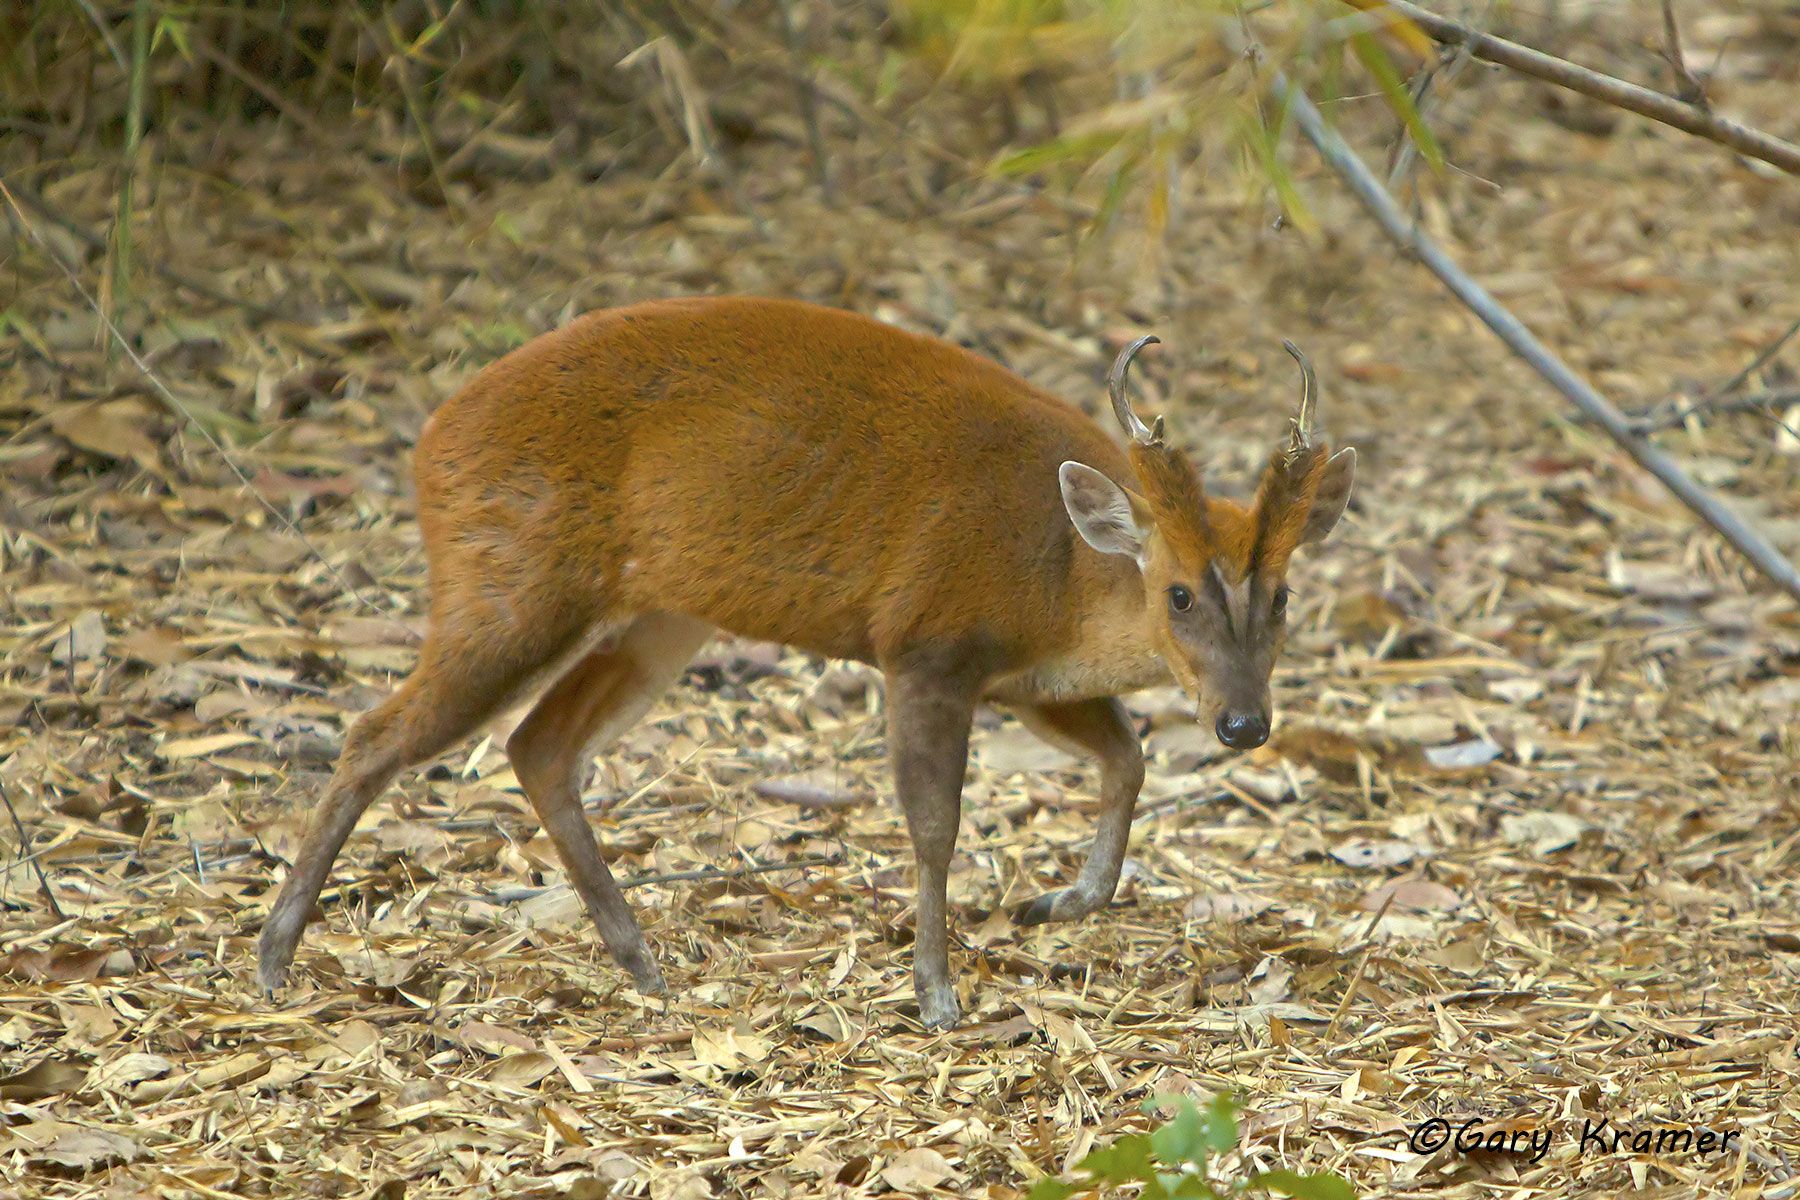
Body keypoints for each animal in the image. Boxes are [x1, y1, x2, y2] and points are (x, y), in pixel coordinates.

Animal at [256, 295, 1355, 1029]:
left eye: (1284, 594)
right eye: (1178, 593)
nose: (1245, 723)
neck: (1057, 571)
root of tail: (430, 441)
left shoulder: (1025, 682)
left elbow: (1127, 759)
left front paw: (1057, 902)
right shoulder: (925, 645)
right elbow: (934, 825)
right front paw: (937, 991)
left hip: (662, 613)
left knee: (541, 745)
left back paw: (642, 961)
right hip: (512, 582)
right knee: (377, 733)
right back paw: (274, 955)